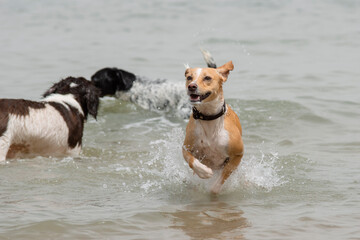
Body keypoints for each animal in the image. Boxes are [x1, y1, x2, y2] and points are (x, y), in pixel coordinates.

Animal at [183, 61, 245, 194]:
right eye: (189, 77)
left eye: (207, 78)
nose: (191, 86)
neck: (208, 117)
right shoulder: (186, 147)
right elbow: (190, 160)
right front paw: (204, 172)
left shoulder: (238, 154)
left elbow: (223, 177)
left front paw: (214, 189)